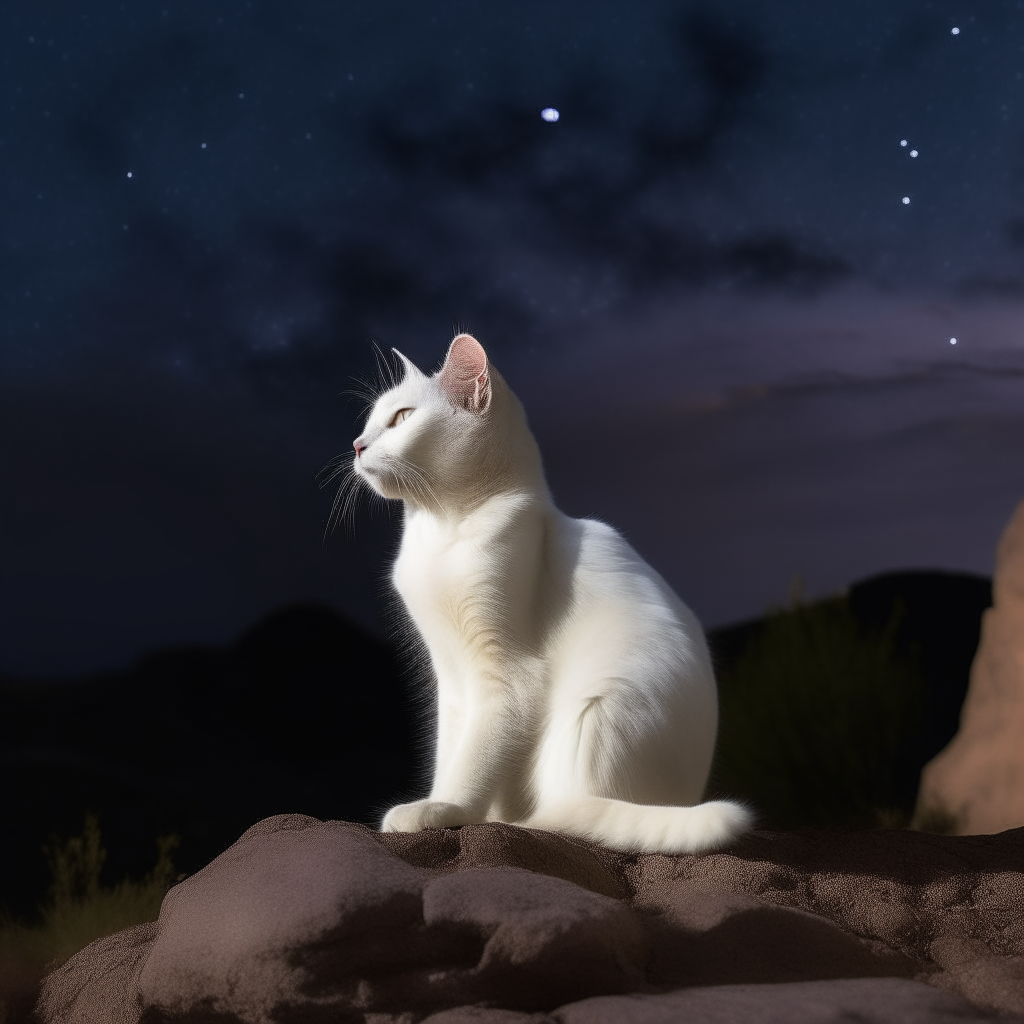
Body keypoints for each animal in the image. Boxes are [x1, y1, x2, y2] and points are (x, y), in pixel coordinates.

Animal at [335, 331, 753, 851]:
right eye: (371, 420)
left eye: (402, 418)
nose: (356, 445)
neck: (440, 534)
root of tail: (681, 800)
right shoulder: (452, 678)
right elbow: (450, 753)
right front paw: (442, 800)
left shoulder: (506, 677)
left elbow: (473, 762)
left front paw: (444, 810)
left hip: (596, 712)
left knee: (567, 817)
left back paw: (524, 820)